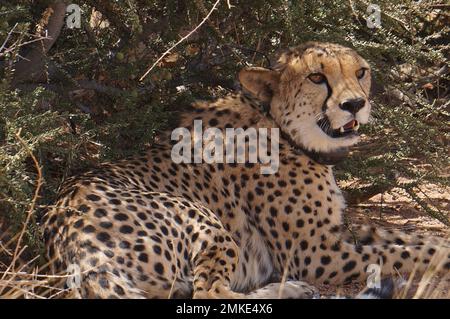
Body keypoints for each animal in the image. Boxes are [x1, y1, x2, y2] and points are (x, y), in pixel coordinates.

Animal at [43, 42, 450, 300]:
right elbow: (400, 254)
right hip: (204, 219)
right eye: (317, 78)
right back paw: (292, 290)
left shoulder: (337, 231)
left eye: (361, 72)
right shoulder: (316, 253)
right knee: (209, 292)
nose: (355, 104)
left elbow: (408, 237)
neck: (281, 126)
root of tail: (70, 236)